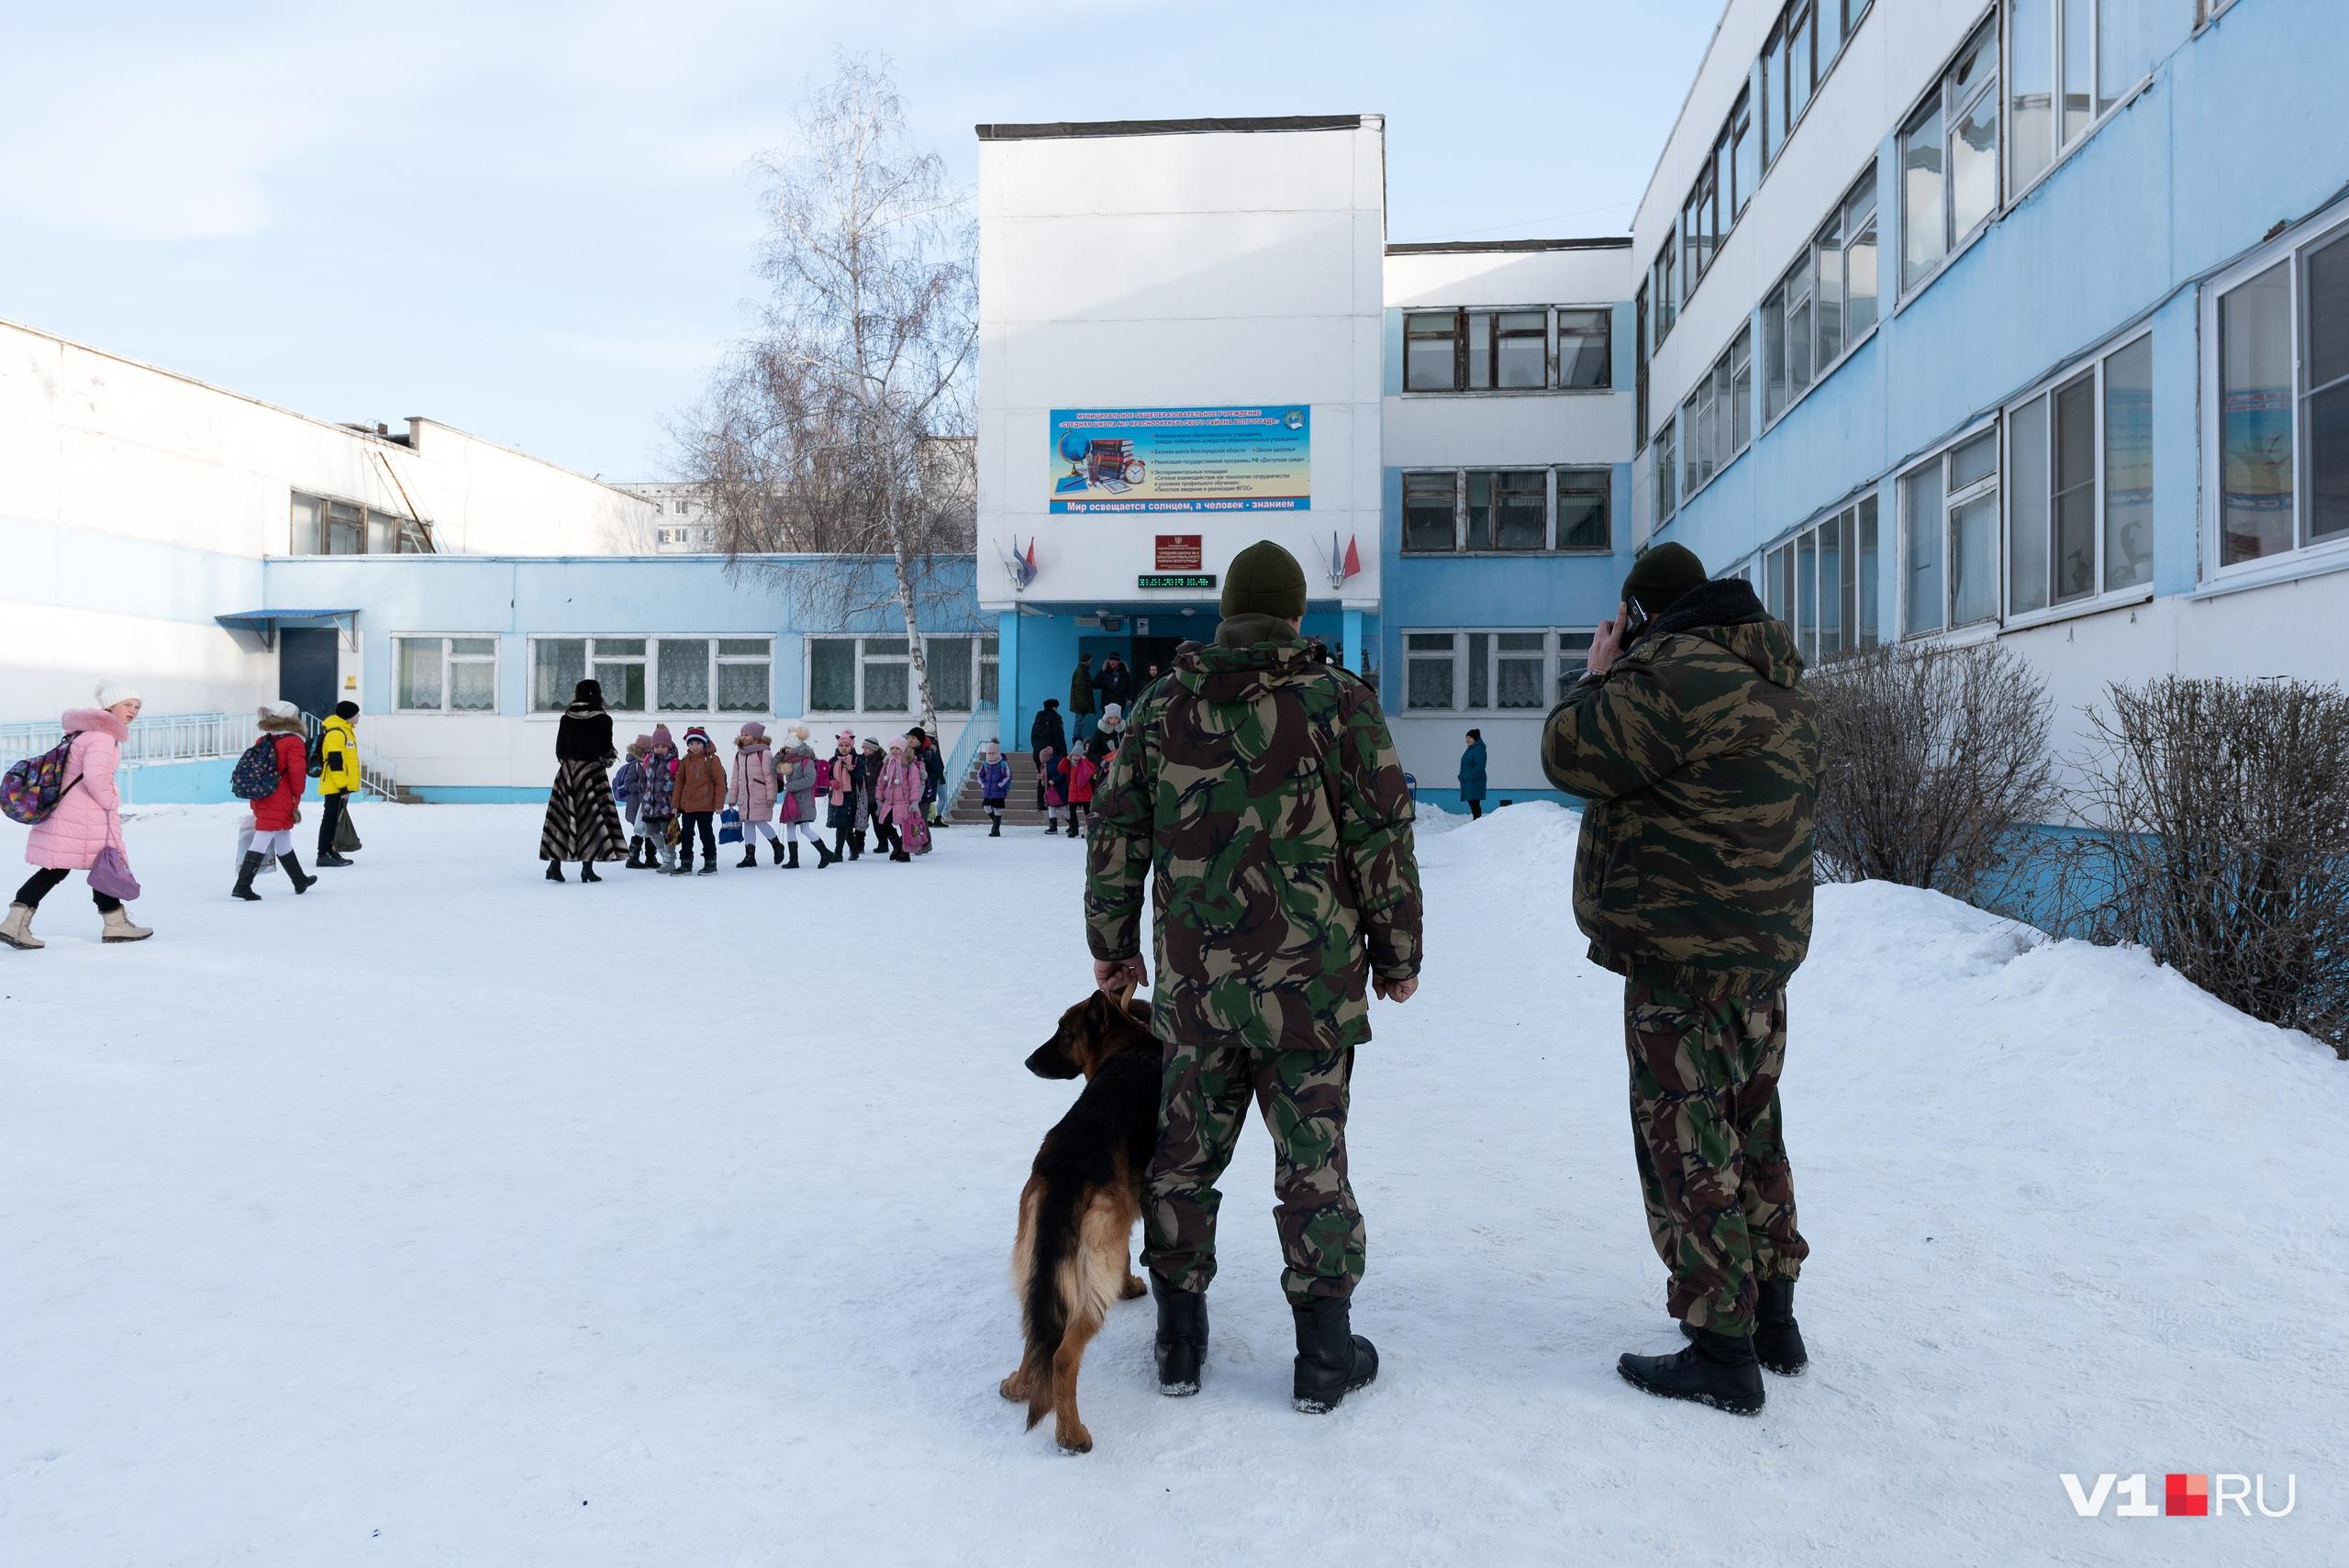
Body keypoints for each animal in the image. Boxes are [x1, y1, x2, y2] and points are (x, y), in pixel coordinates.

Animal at [1000, 985, 1164, 1455]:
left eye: (1064, 1032)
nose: (1028, 1062)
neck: (1131, 1042)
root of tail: (1067, 1169)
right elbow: (1131, 1253)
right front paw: (1132, 1287)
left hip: (1033, 1263)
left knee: (1036, 1332)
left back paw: (1019, 1388)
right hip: (1092, 1283)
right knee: (1063, 1355)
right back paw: (1071, 1435)